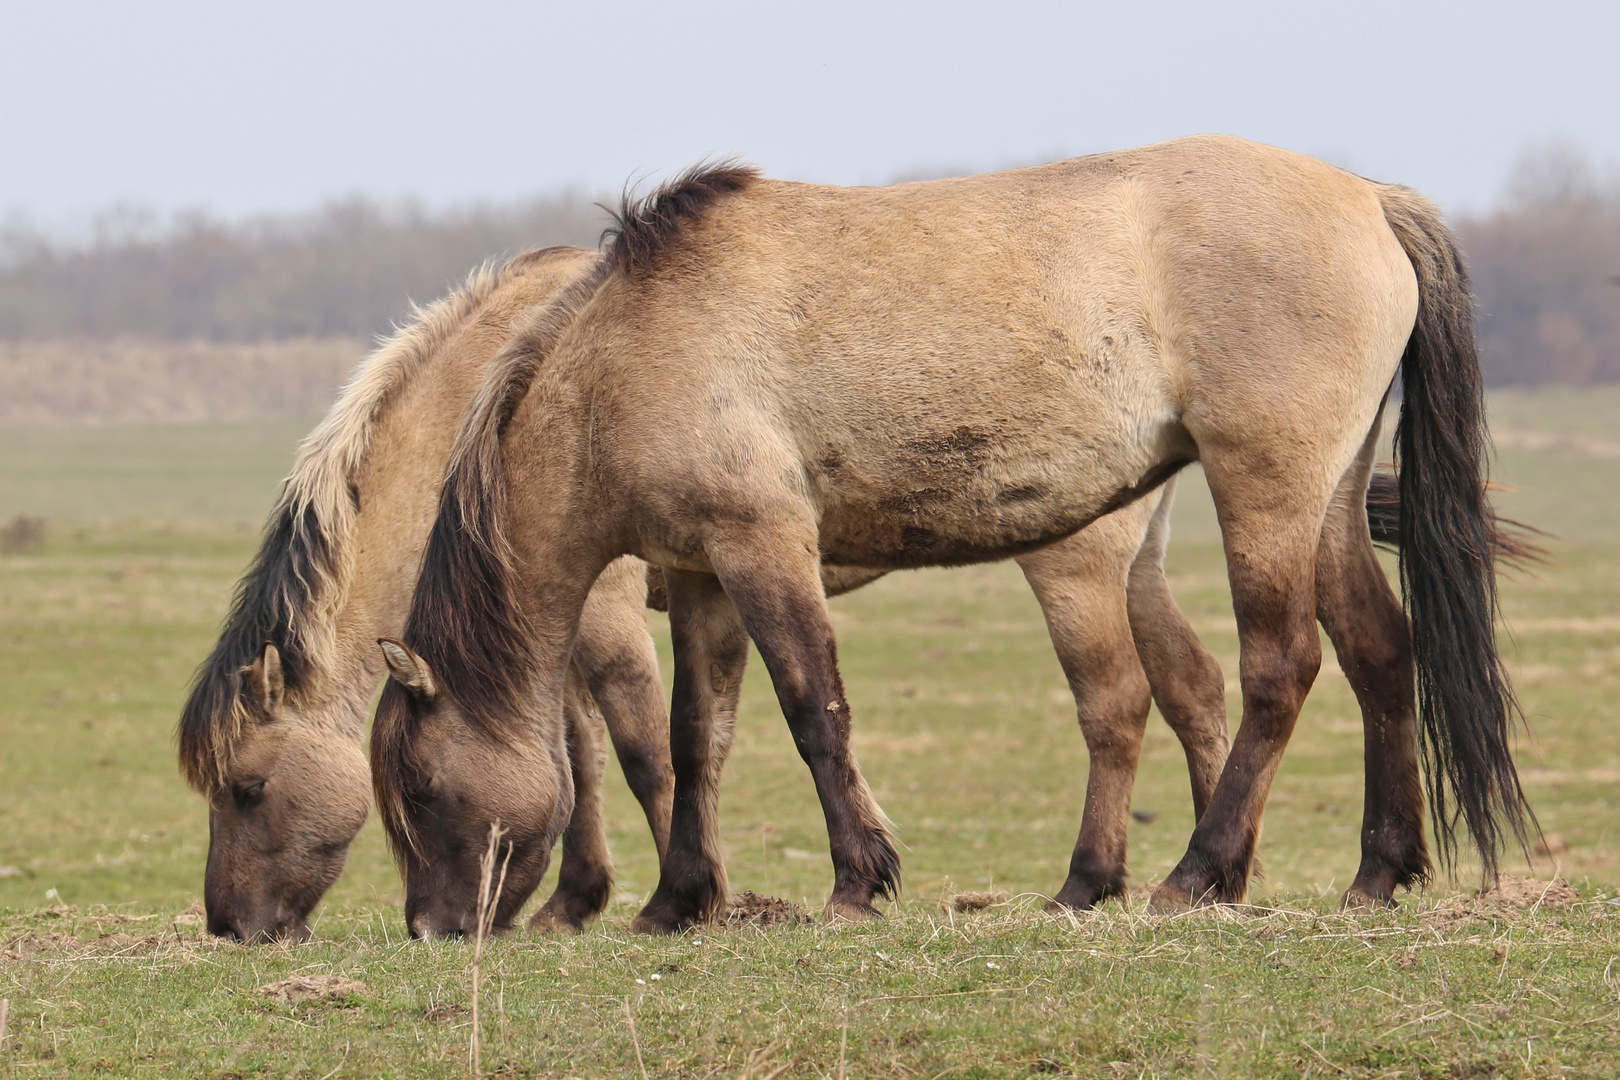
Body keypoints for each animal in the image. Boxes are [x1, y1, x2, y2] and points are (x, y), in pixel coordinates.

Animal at [372, 137, 1535, 939]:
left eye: (419, 790)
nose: (430, 928)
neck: (624, 353)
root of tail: (1370, 199)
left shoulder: (764, 548)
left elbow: (813, 711)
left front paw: (856, 880)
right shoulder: (702, 577)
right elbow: (699, 740)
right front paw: (679, 900)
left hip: (1268, 493)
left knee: (1279, 667)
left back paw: (1192, 874)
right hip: (1325, 503)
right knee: (1380, 651)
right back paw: (1373, 872)